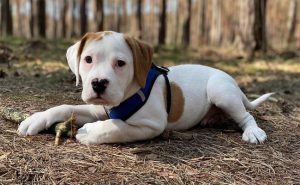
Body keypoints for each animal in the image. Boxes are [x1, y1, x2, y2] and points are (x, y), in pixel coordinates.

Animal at [17, 31, 274, 145]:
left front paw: (90, 132)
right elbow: (64, 107)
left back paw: (253, 132)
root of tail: (230, 79)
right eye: (88, 59)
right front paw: (36, 119)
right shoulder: (98, 109)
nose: (98, 83)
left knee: (246, 116)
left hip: (221, 92)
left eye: (121, 63)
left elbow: (118, 127)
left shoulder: (152, 124)